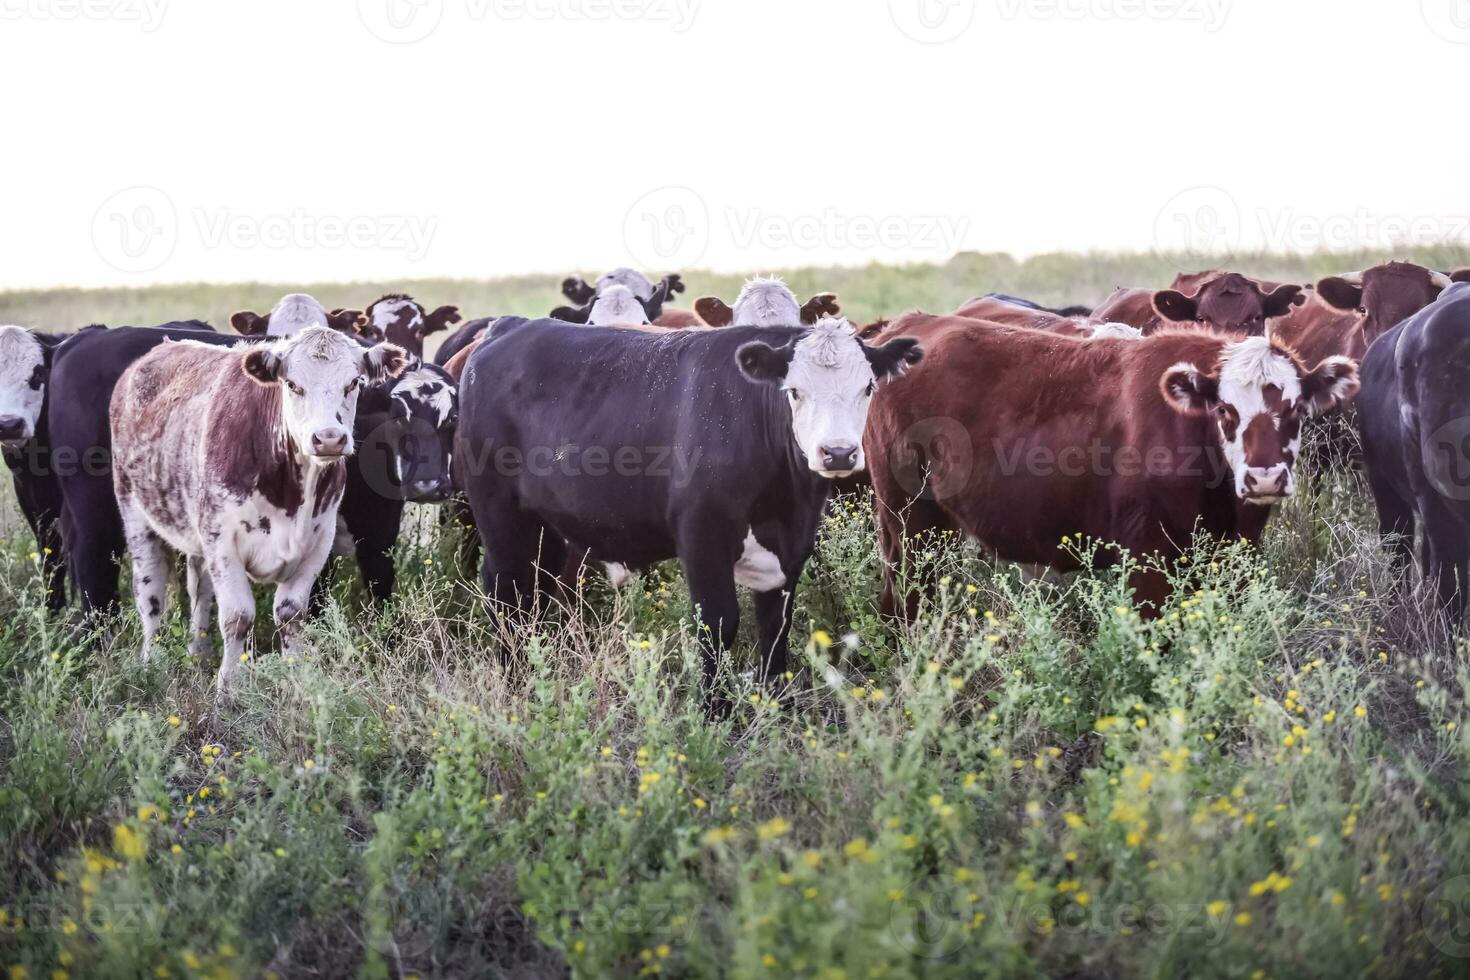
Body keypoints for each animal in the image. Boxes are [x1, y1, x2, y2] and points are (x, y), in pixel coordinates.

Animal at [108, 326, 408, 693]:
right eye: (292, 384)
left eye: (353, 383)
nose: (328, 438)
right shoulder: (222, 541)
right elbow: (238, 617)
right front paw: (226, 693)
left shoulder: (317, 543)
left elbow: (290, 615)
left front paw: (296, 682)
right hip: (135, 512)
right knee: (150, 595)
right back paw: (150, 664)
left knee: (199, 591)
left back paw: (198, 655)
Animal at [458, 314, 917, 696]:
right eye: (794, 392)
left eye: (868, 387)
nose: (837, 453)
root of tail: (510, 326)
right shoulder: (702, 535)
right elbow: (718, 623)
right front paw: (714, 712)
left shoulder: (792, 544)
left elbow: (776, 627)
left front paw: (774, 705)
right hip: (500, 515)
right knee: (505, 592)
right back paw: (515, 685)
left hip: (546, 527)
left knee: (534, 595)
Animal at [864, 314, 1358, 617]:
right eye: (1225, 411)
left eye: (1296, 410)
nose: (1265, 477)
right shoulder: (1148, 559)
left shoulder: (1236, 557)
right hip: (909, 522)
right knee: (903, 600)